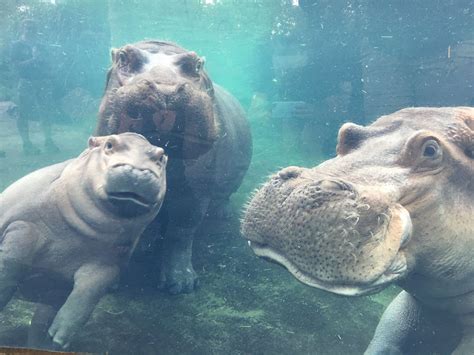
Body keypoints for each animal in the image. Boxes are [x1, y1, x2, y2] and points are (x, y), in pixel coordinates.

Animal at [0, 132, 167, 350]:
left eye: (161, 156)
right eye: (109, 144)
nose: (138, 170)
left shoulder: (107, 264)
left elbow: (87, 294)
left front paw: (58, 338)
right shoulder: (23, 227)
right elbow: (9, 266)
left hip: (51, 292)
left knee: (40, 321)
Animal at [95, 39, 252, 294]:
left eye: (196, 64)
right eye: (123, 56)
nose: (164, 89)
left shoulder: (194, 193)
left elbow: (181, 232)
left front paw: (180, 285)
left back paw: (222, 214)